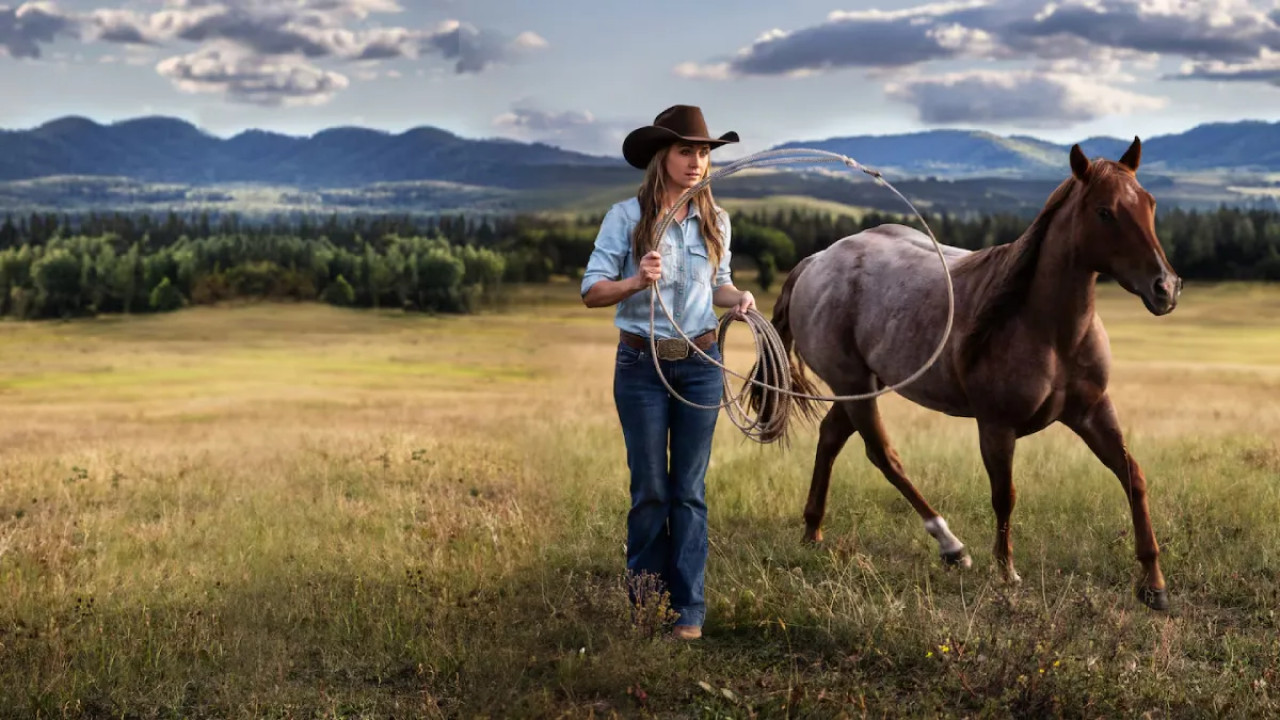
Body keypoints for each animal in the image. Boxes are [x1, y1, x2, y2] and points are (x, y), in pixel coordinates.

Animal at [752, 137, 1182, 607]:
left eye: (1149, 203)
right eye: (1104, 211)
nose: (1165, 288)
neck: (1047, 329)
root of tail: (814, 263)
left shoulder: (1092, 413)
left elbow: (1133, 476)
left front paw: (1154, 584)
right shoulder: (996, 425)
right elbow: (1004, 495)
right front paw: (1006, 572)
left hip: (865, 386)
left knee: (831, 437)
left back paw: (813, 530)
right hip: (854, 384)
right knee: (883, 454)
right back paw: (952, 546)